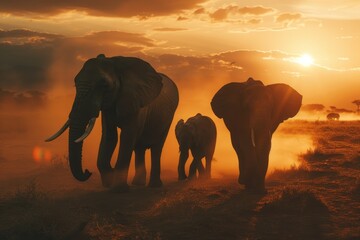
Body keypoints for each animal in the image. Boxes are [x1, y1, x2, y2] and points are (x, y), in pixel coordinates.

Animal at [45, 54, 179, 191]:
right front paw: (109, 182)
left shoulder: (136, 102)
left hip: (169, 117)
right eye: (75, 83)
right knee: (139, 147)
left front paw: (118, 189)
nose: (88, 171)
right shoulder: (108, 107)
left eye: (104, 85)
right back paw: (138, 184)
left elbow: (127, 136)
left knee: (157, 148)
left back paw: (154, 185)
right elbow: (109, 136)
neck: (116, 62)